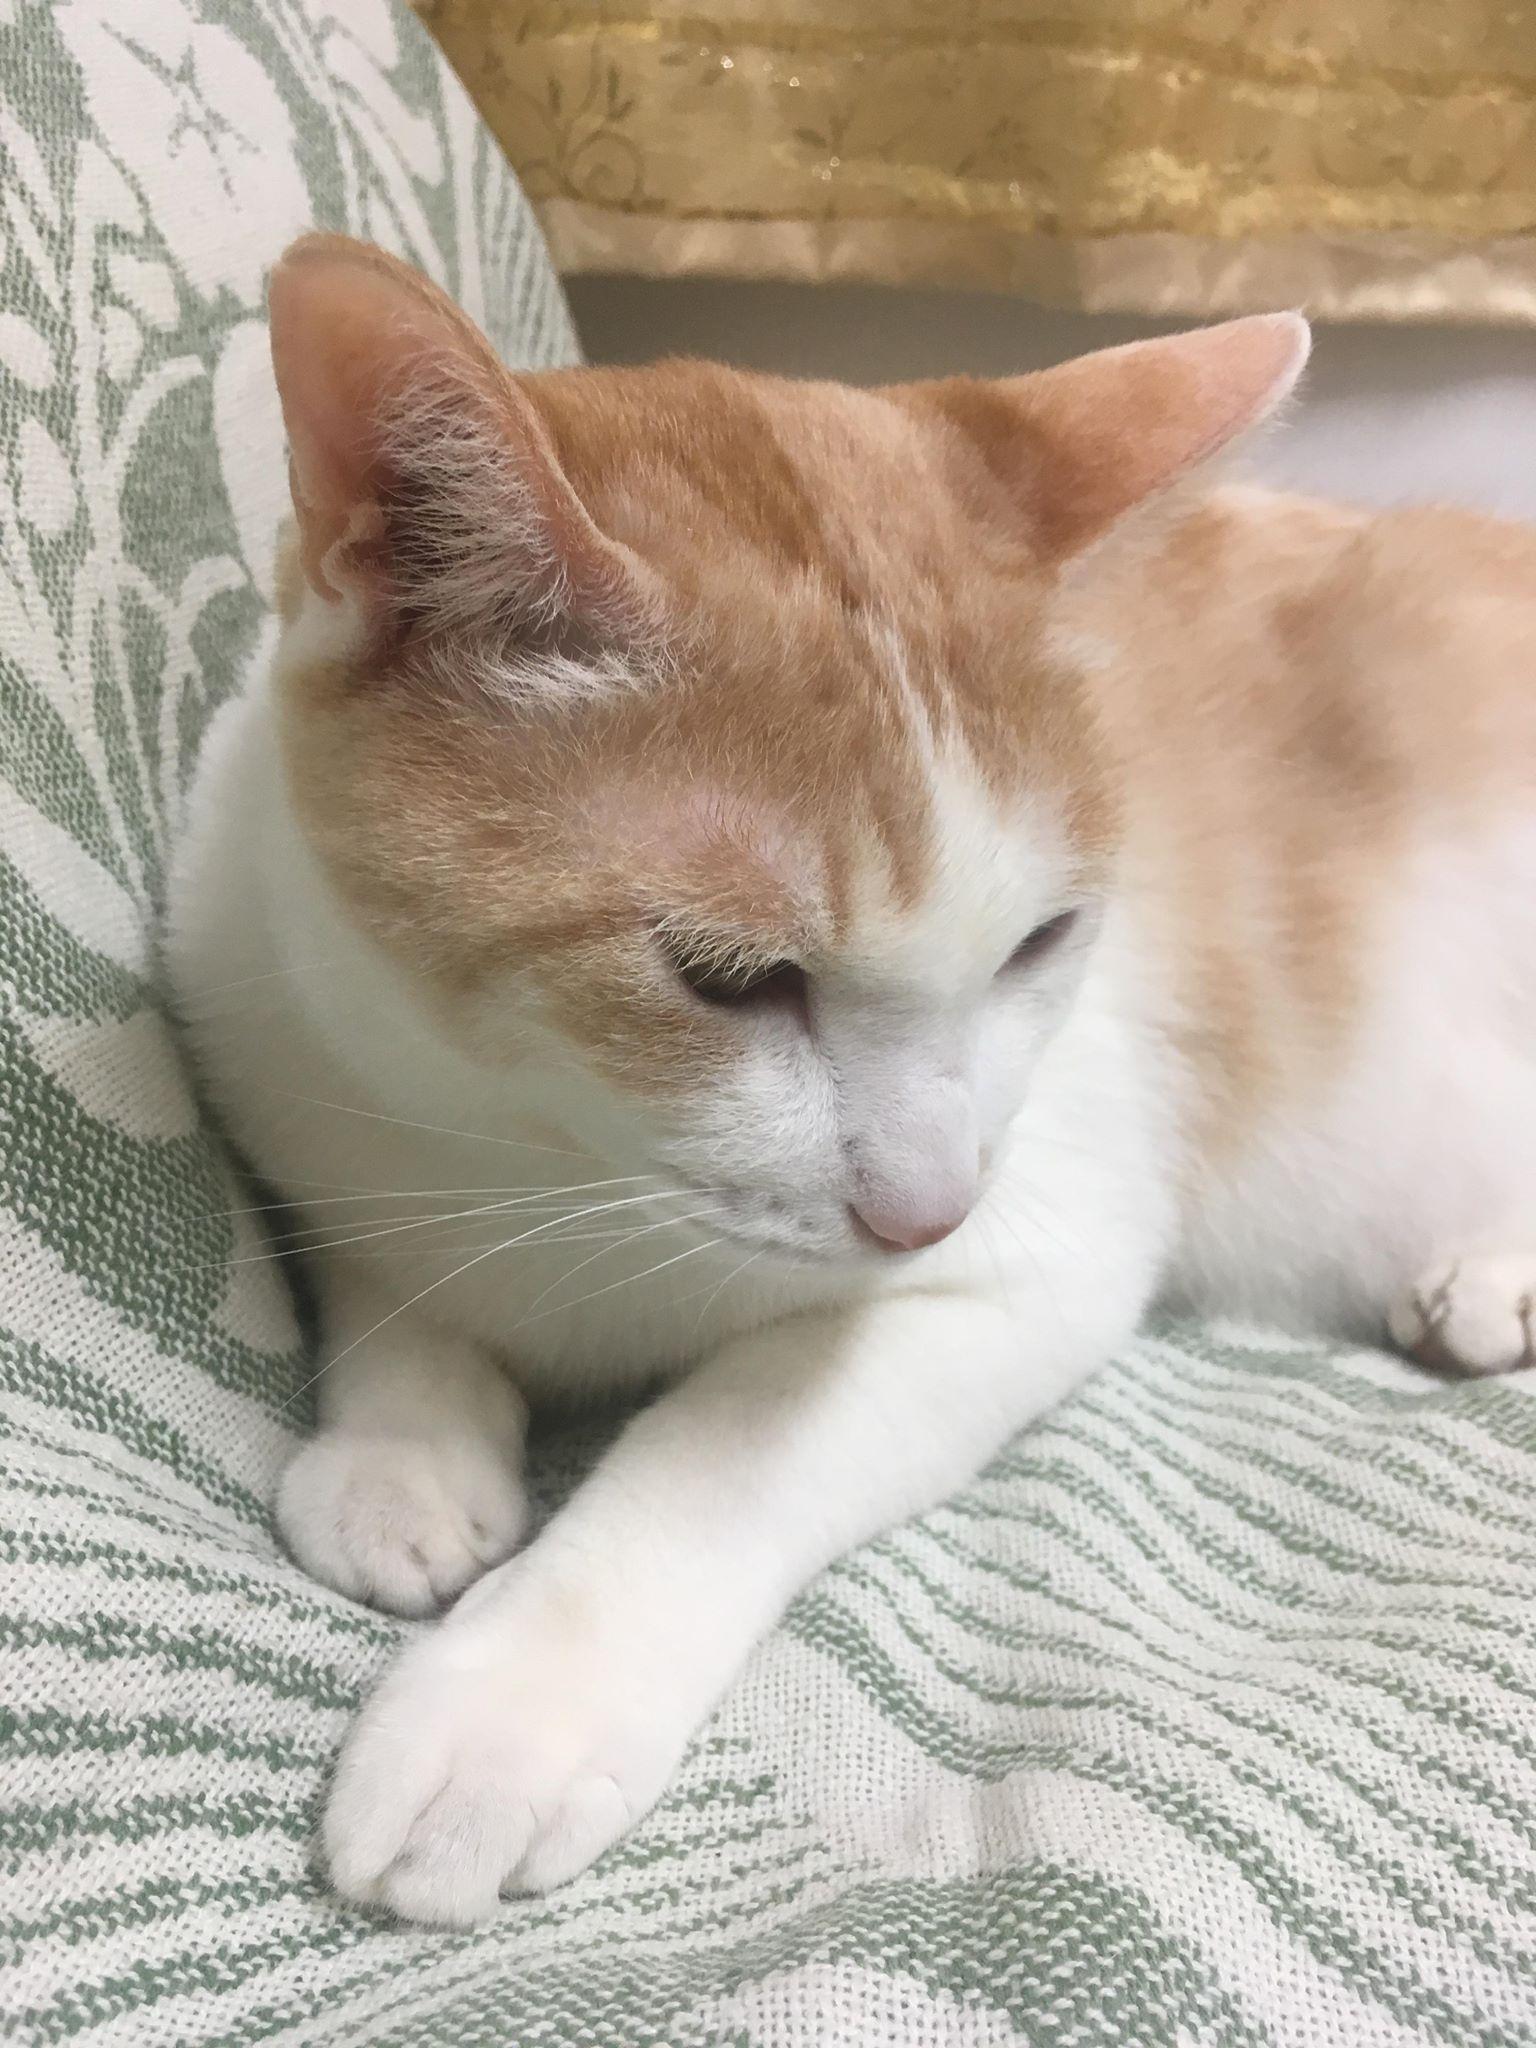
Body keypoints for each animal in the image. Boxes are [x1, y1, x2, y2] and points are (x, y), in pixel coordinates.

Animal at [168, 233, 1536, 1928]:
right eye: (729, 977)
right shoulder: (297, 1064)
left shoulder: (1033, 1263)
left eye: (1044, 943)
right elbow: (386, 1272)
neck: (555, 1154)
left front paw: (513, 1703)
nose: (929, 1208)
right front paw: (401, 1455)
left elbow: (721, 1454)